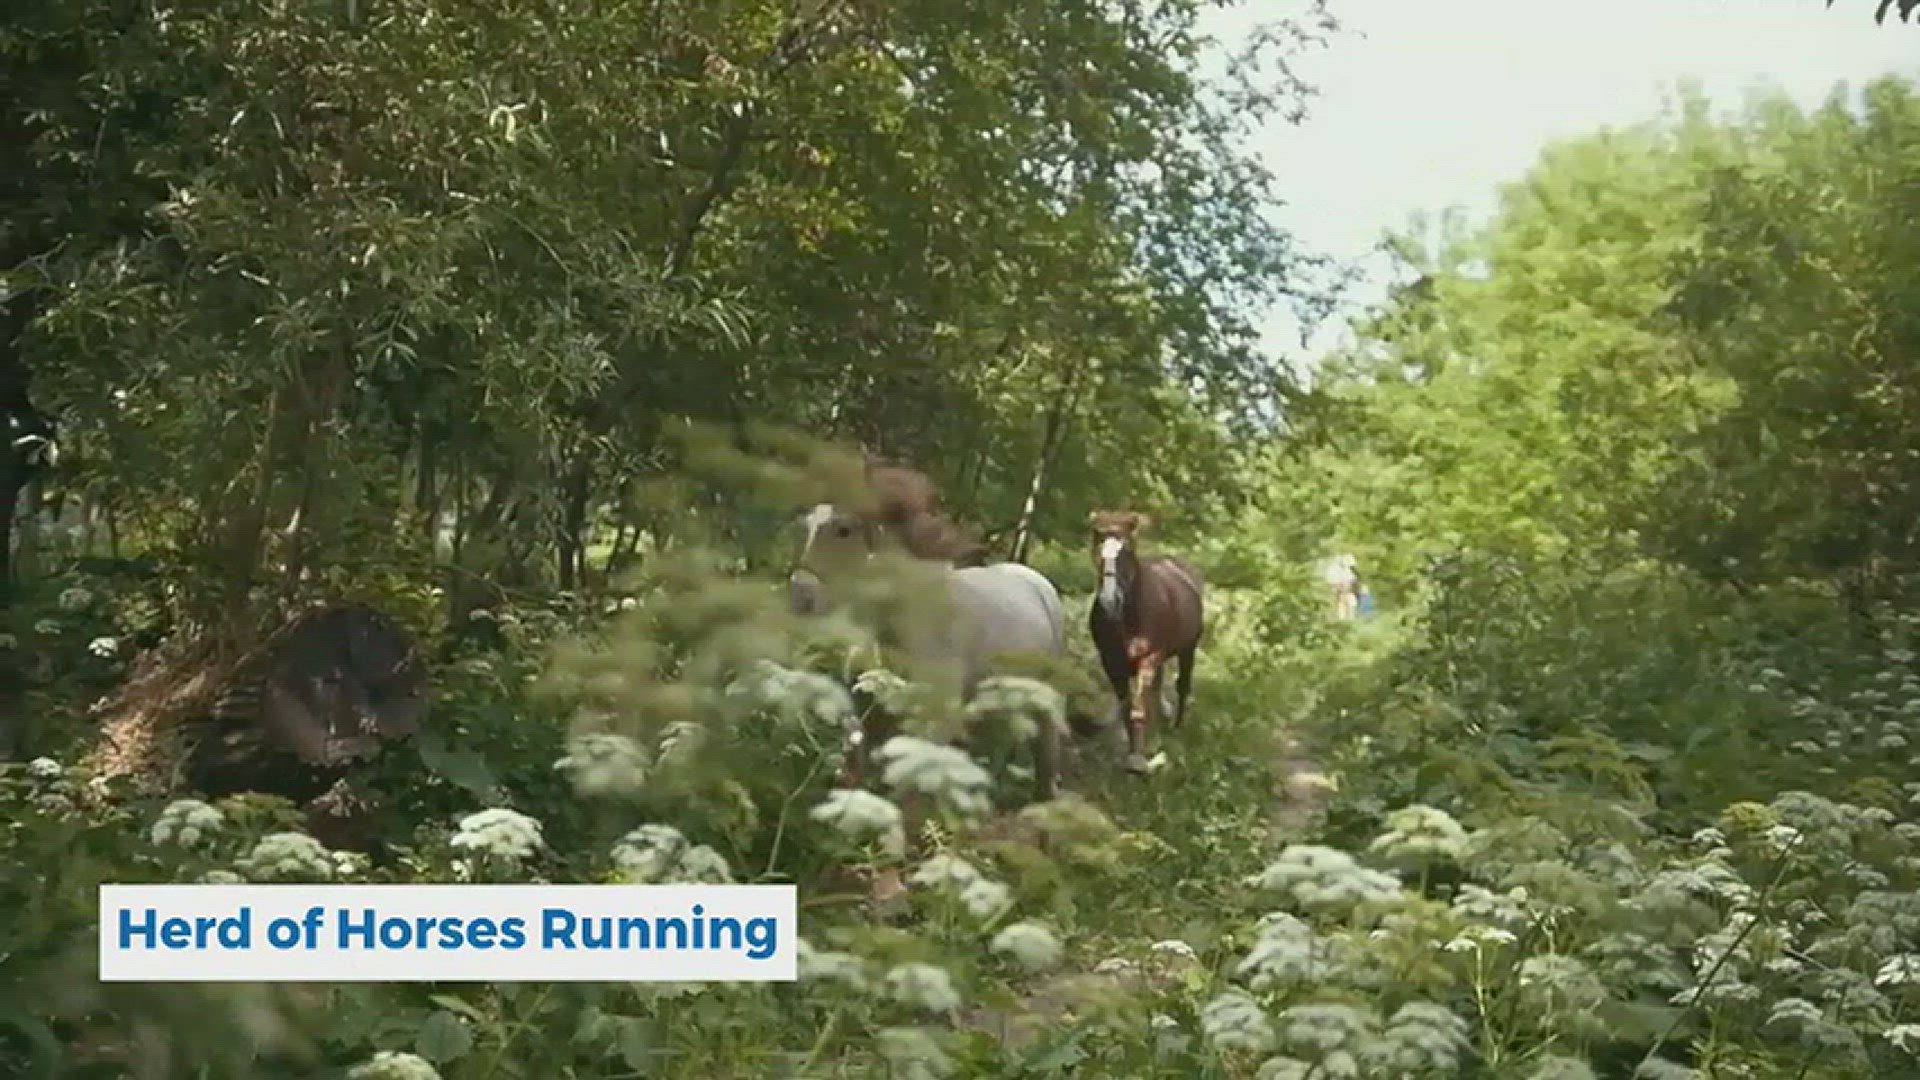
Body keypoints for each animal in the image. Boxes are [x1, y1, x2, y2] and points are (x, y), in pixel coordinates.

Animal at [785, 461, 1070, 802]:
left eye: (843, 529)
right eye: (805, 525)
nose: (800, 597)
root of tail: (1036, 582)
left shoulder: (930, 733)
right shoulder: (864, 724)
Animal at [1086, 510, 1205, 774]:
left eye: (1126, 552)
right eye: (1098, 551)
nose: (1109, 601)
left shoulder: (1149, 660)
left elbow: (1139, 710)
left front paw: (1138, 761)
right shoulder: (1111, 664)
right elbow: (1126, 708)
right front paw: (1133, 752)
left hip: (1188, 650)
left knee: (1183, 685)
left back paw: (1177, 726)